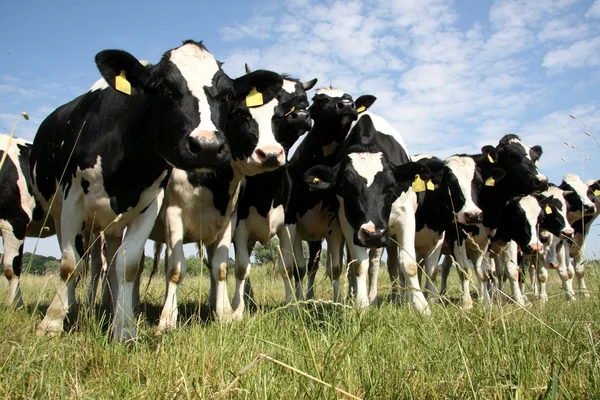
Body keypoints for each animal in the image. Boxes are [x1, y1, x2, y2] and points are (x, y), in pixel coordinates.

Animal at [29, 39, 268, 340]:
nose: (207, 146)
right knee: (87, 262)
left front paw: (124, 328)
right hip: (64, 214)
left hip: (114, 227)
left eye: (226, 95)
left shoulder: (149, 206)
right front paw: (51, 322)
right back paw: (76, 306)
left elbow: (129, 266)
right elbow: (70, 264)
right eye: (163, 88)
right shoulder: (74, 201)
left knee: (113, 263)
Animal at [304, 109, 432, 312]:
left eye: (391, 186)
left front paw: (422, 307)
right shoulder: (348, 223)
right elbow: (358, 265)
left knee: (378, 263)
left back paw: (381, 298)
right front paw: (361, 305)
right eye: (345, 187)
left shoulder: (405, 216)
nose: (373, 234)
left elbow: (409, 263)